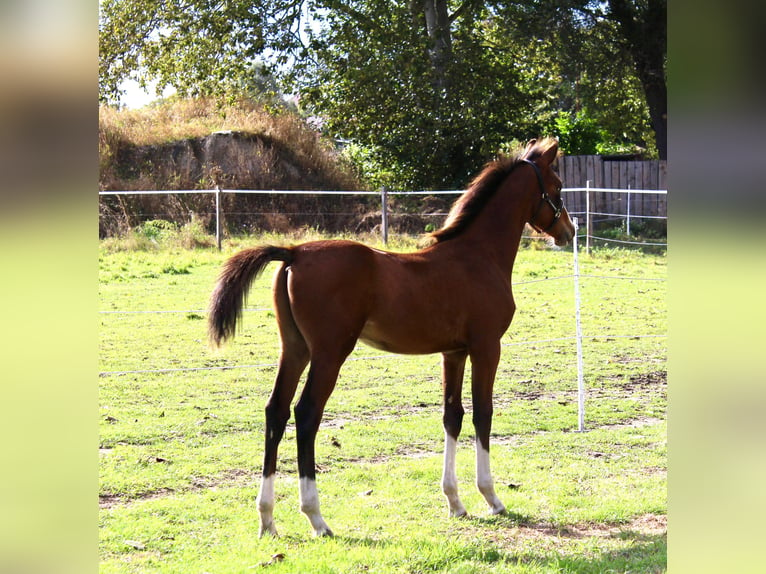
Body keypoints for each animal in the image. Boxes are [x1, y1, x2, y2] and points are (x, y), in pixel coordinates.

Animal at [210, 137, 576, 536]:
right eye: (557, 186)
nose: (569, 232)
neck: (477, 256)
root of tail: (293, 253)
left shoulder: (454, 353)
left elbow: (452, 415)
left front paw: (455, 502)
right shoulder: (486, 347)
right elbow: (483, 413)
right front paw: (491, 498)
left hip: (294, 350)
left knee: (275, 411)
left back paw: (267, 519)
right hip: (329, 353)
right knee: (306, 414)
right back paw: (316, 518)